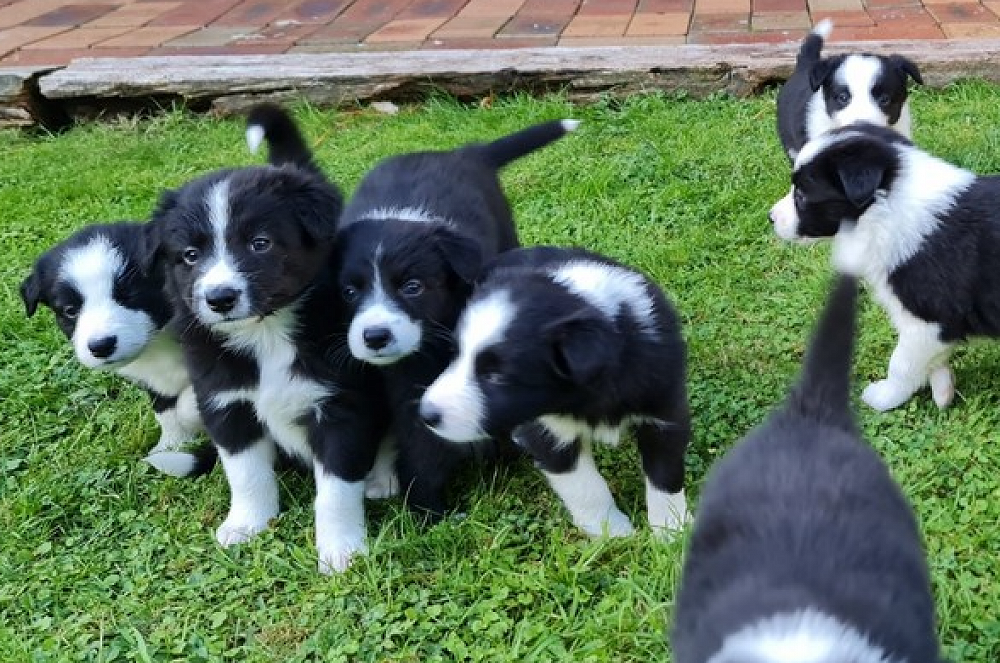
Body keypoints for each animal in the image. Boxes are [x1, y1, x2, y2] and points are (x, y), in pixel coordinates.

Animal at [143, 105, 388, 576]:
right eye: (190, 256)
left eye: (260, 244)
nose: (220, 298)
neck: (265, 334)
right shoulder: (227, 404)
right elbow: (246, 474)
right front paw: (246, 526)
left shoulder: (340, 406)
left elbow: (336, 490)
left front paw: (341, 552)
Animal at [332, 119, 576, 520]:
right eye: (349, 292)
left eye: (413, 287)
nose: (375, 336)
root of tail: (464, 151)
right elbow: (418, 436)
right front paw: (428, 511)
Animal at [418, 248, 692, 540]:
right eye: (455, 355)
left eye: (496, 376)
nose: (426, 414)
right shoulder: (545, 431)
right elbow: (586, 486)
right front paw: (612, 532)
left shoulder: (665, 407)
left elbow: (665, 474)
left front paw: (672, 530)